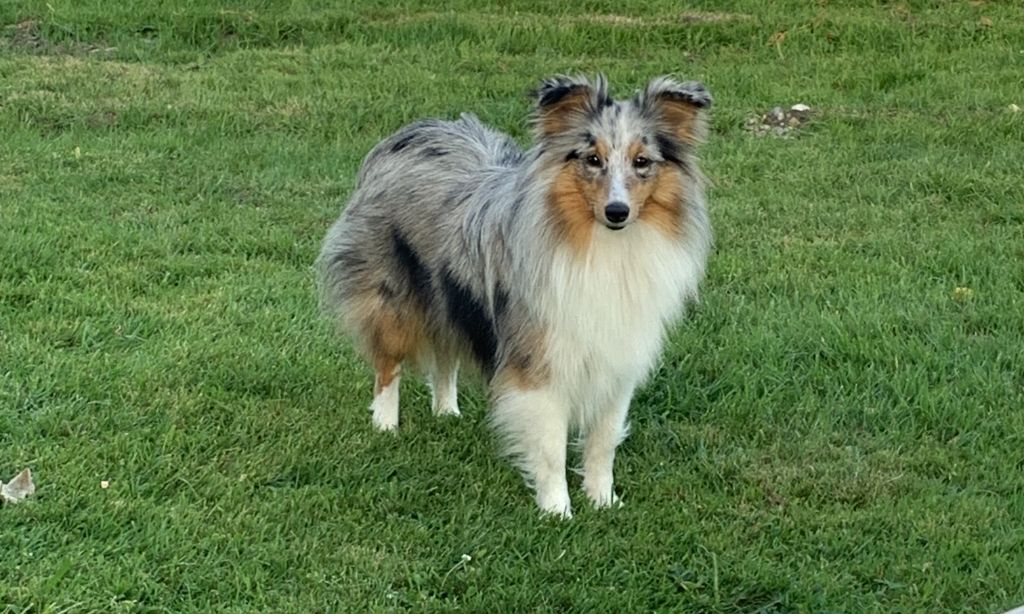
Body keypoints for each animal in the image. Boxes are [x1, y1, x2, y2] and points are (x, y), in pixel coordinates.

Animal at [317, 73, 712, 517]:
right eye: (592, 159)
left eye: (642, 162)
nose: (617, 211)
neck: (602, 247)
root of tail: (416, 131)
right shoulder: (540, 362)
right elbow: (552, 446)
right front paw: (558, 511)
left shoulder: (617, 359)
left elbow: (603, 441)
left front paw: (603, 501)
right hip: (394, 302)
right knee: (388, 364)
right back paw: (385, 424)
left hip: (452, 295)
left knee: (446, 356)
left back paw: (447, 411)